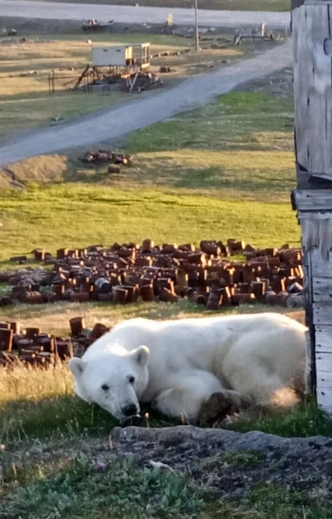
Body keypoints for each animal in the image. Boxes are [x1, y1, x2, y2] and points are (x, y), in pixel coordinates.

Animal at [68, 312, 308, 422]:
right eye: (104, 386)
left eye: (131, 378)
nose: (129, 408)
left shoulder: (165, 365)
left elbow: (198, 385)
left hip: (267, 342)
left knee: (242, 366)